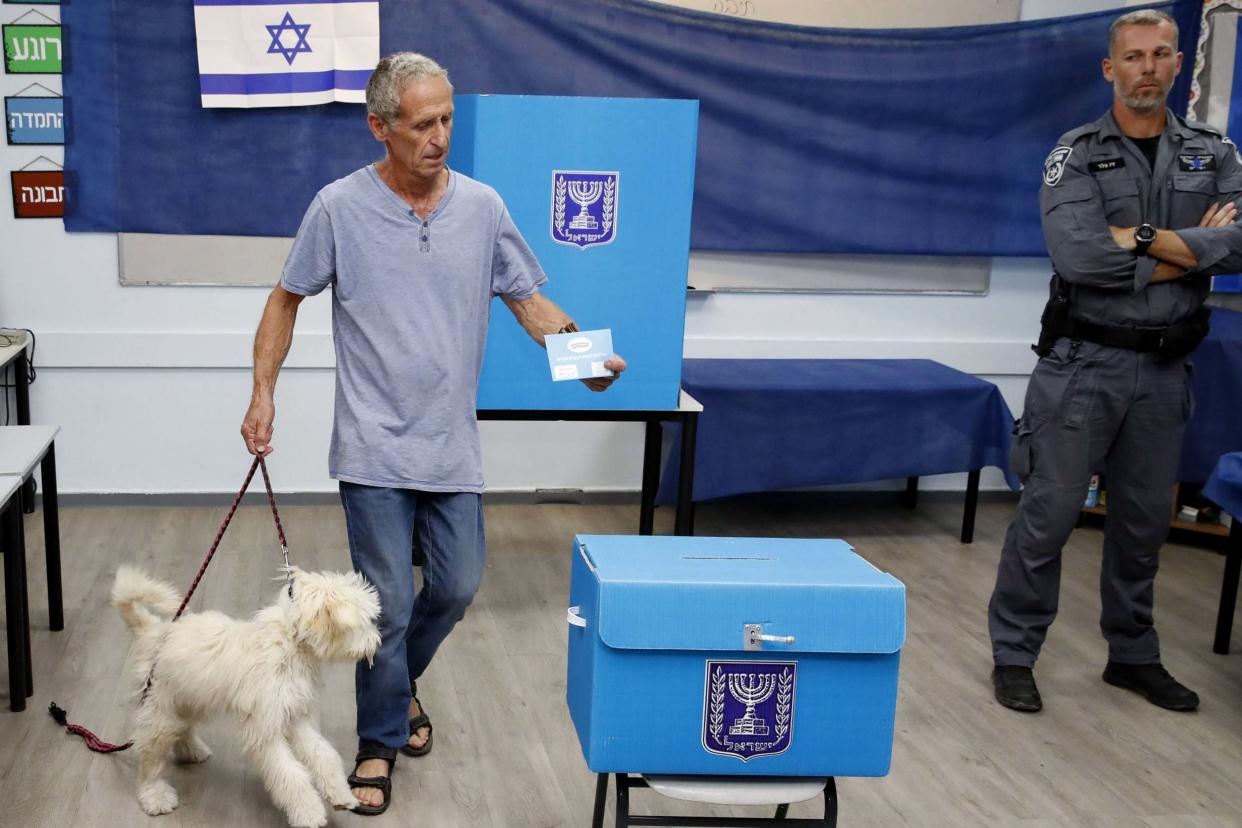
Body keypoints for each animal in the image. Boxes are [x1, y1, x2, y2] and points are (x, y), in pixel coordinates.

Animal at [113, 566, 380, 824]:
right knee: (150, 756)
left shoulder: (295, 716)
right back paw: (154, 795)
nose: (376, 642)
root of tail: (151, 629)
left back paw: (192, 750)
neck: (289, 643)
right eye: (364, 622)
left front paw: (341, 795)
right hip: (163, 711)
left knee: (182, 728)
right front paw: (309, 813)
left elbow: (324, 754)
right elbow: (291, 775)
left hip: (189, 698)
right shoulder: (266, 730)